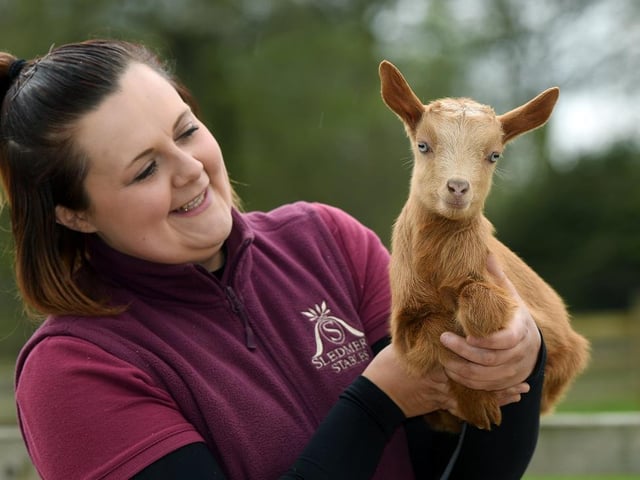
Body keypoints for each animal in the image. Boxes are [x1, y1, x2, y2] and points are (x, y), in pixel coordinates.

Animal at [379, 60, 590, 432]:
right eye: (423, 145)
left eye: (494, 155)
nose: (457, 187)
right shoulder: (404, 326)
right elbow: (436, 334)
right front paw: (478, 404)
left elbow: (481, 305)